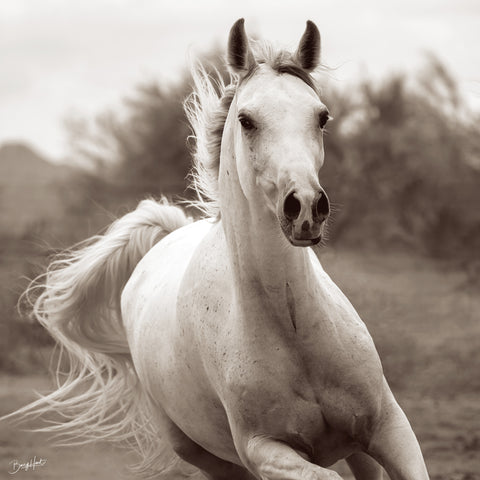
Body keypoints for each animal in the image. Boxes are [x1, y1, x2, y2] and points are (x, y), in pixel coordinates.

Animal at [9, 17, 430, 480]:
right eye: (246, 120)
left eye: (321, 117)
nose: (305, 207)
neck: (291, 328)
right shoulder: (264, 450)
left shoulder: (388, 427)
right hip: (204, 454)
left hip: (357, 447)